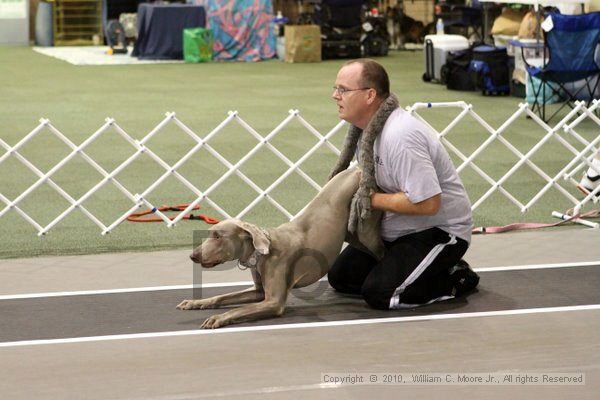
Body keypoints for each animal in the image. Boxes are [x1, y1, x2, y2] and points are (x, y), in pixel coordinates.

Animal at [177, 167, 384, 330]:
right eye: (209, 234)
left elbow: (239, 309)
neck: (260, 254)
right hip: (354, 235)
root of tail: (358, 169)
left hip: (367, 231)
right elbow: (221, 297)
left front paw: (218, 318)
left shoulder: (273, 302)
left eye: (218, 236)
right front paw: (196, 302)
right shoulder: (259, 291)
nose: (193, 255)